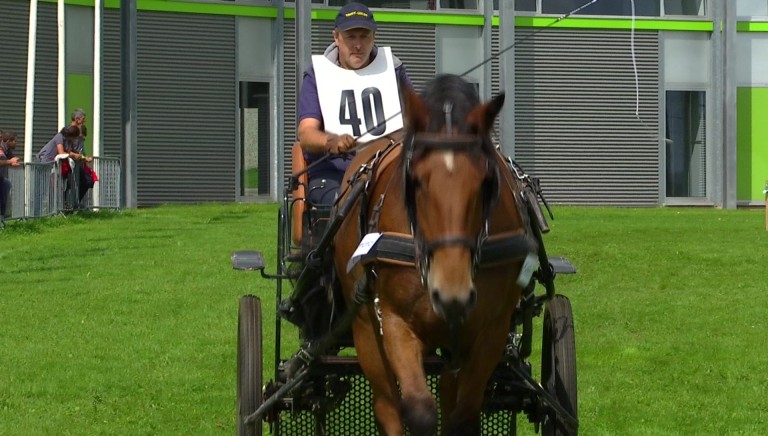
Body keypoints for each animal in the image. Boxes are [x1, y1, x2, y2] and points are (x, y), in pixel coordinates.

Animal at [332, 74, 533, 435]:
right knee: (387, 406)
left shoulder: (492, 329)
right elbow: (419, 410)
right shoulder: (392, 320)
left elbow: (463, 415)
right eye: (414, 180)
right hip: (366, 330)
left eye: (487, 181)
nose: (452, 292)